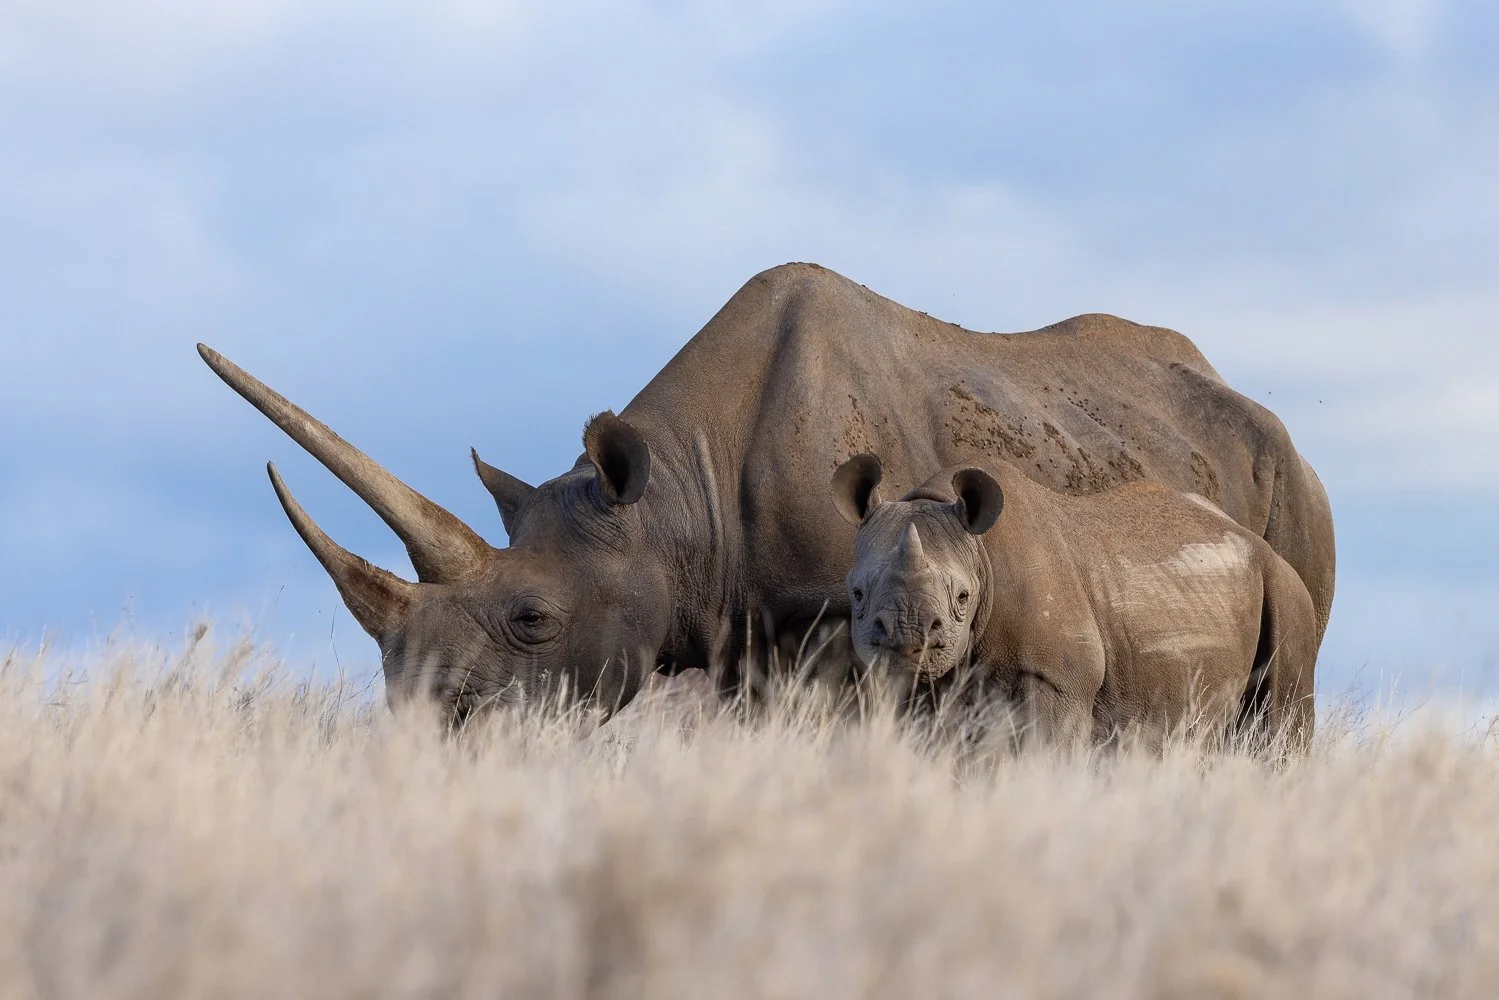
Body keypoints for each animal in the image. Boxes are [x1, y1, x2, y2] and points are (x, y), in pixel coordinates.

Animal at [831, 454, 1318, 752]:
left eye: (962, 598)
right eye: (856, 594)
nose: (907, 637)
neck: (981, 555)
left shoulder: (1060, 677)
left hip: (1287, 587)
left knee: (1279, 724)